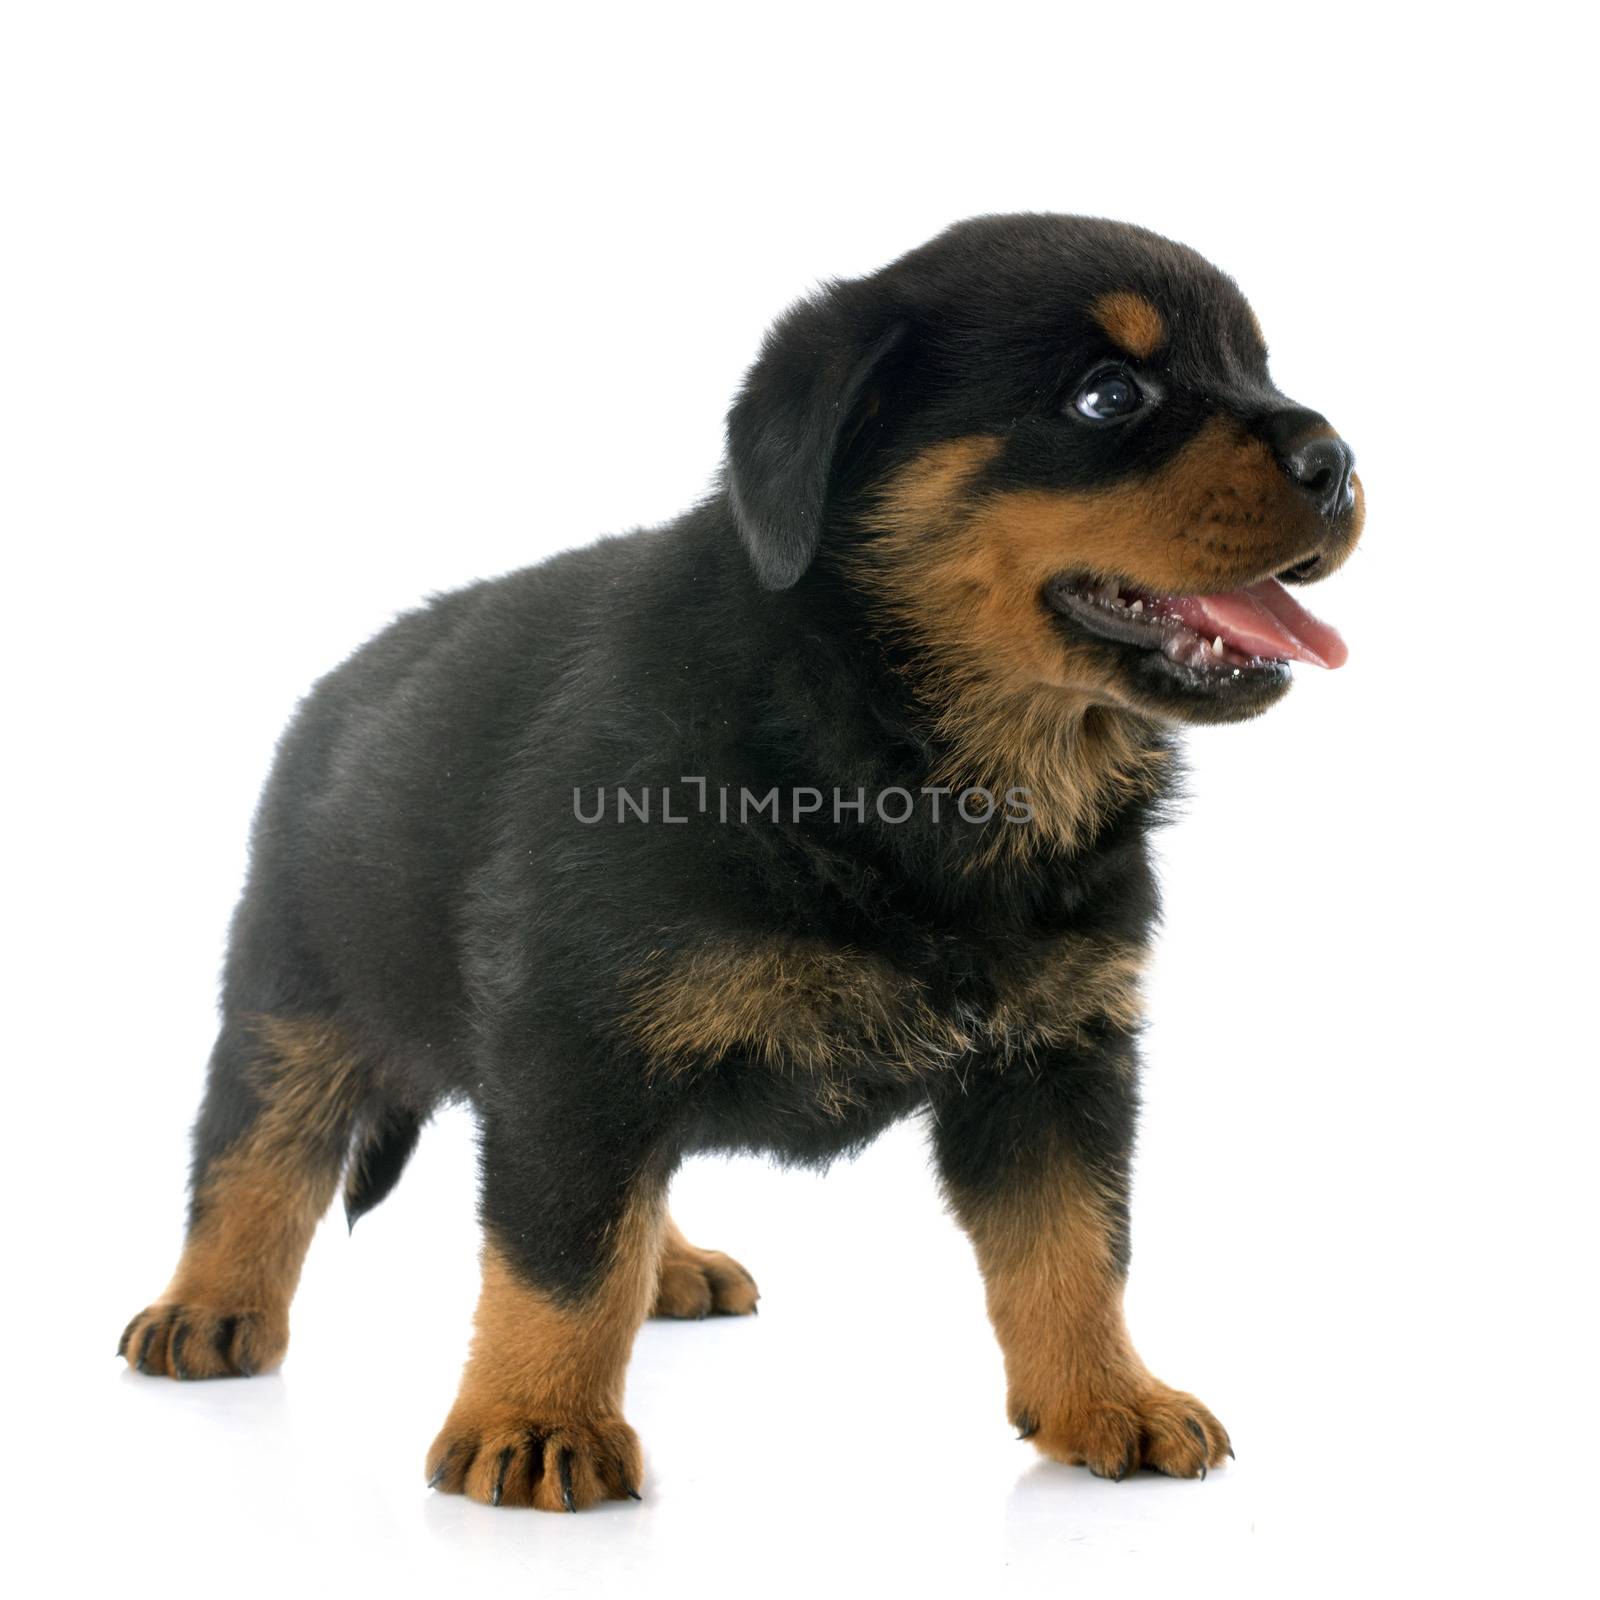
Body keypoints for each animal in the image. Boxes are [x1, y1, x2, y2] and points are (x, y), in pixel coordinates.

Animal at [118, 216, 1363, 1510]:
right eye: (1107, 394)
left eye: (1258, 369)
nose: (1334, 458)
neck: (908, 761)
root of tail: (337, 683)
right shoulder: (575, 1040)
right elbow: (560, 1255)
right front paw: (536, 1420)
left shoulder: (1058, 1053)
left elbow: (1074, 1245)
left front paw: (1105, 1396)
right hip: (292, 986)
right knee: (258, 1146)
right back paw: (208, 1306)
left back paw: (669, 1264)